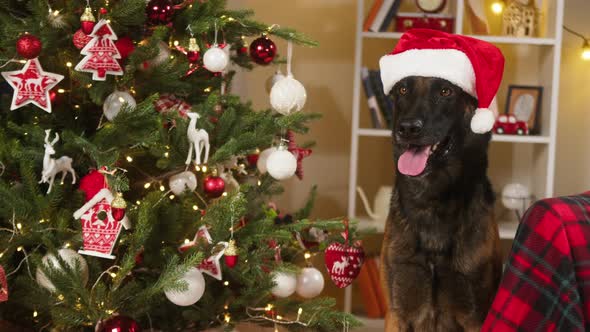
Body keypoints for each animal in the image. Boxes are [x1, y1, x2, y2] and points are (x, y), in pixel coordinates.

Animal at [382, 76, 506, 330]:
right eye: (402, 89)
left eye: (446, 91)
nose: (408, 128)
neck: (431, 201)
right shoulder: (397, 314)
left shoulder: (475, 318)